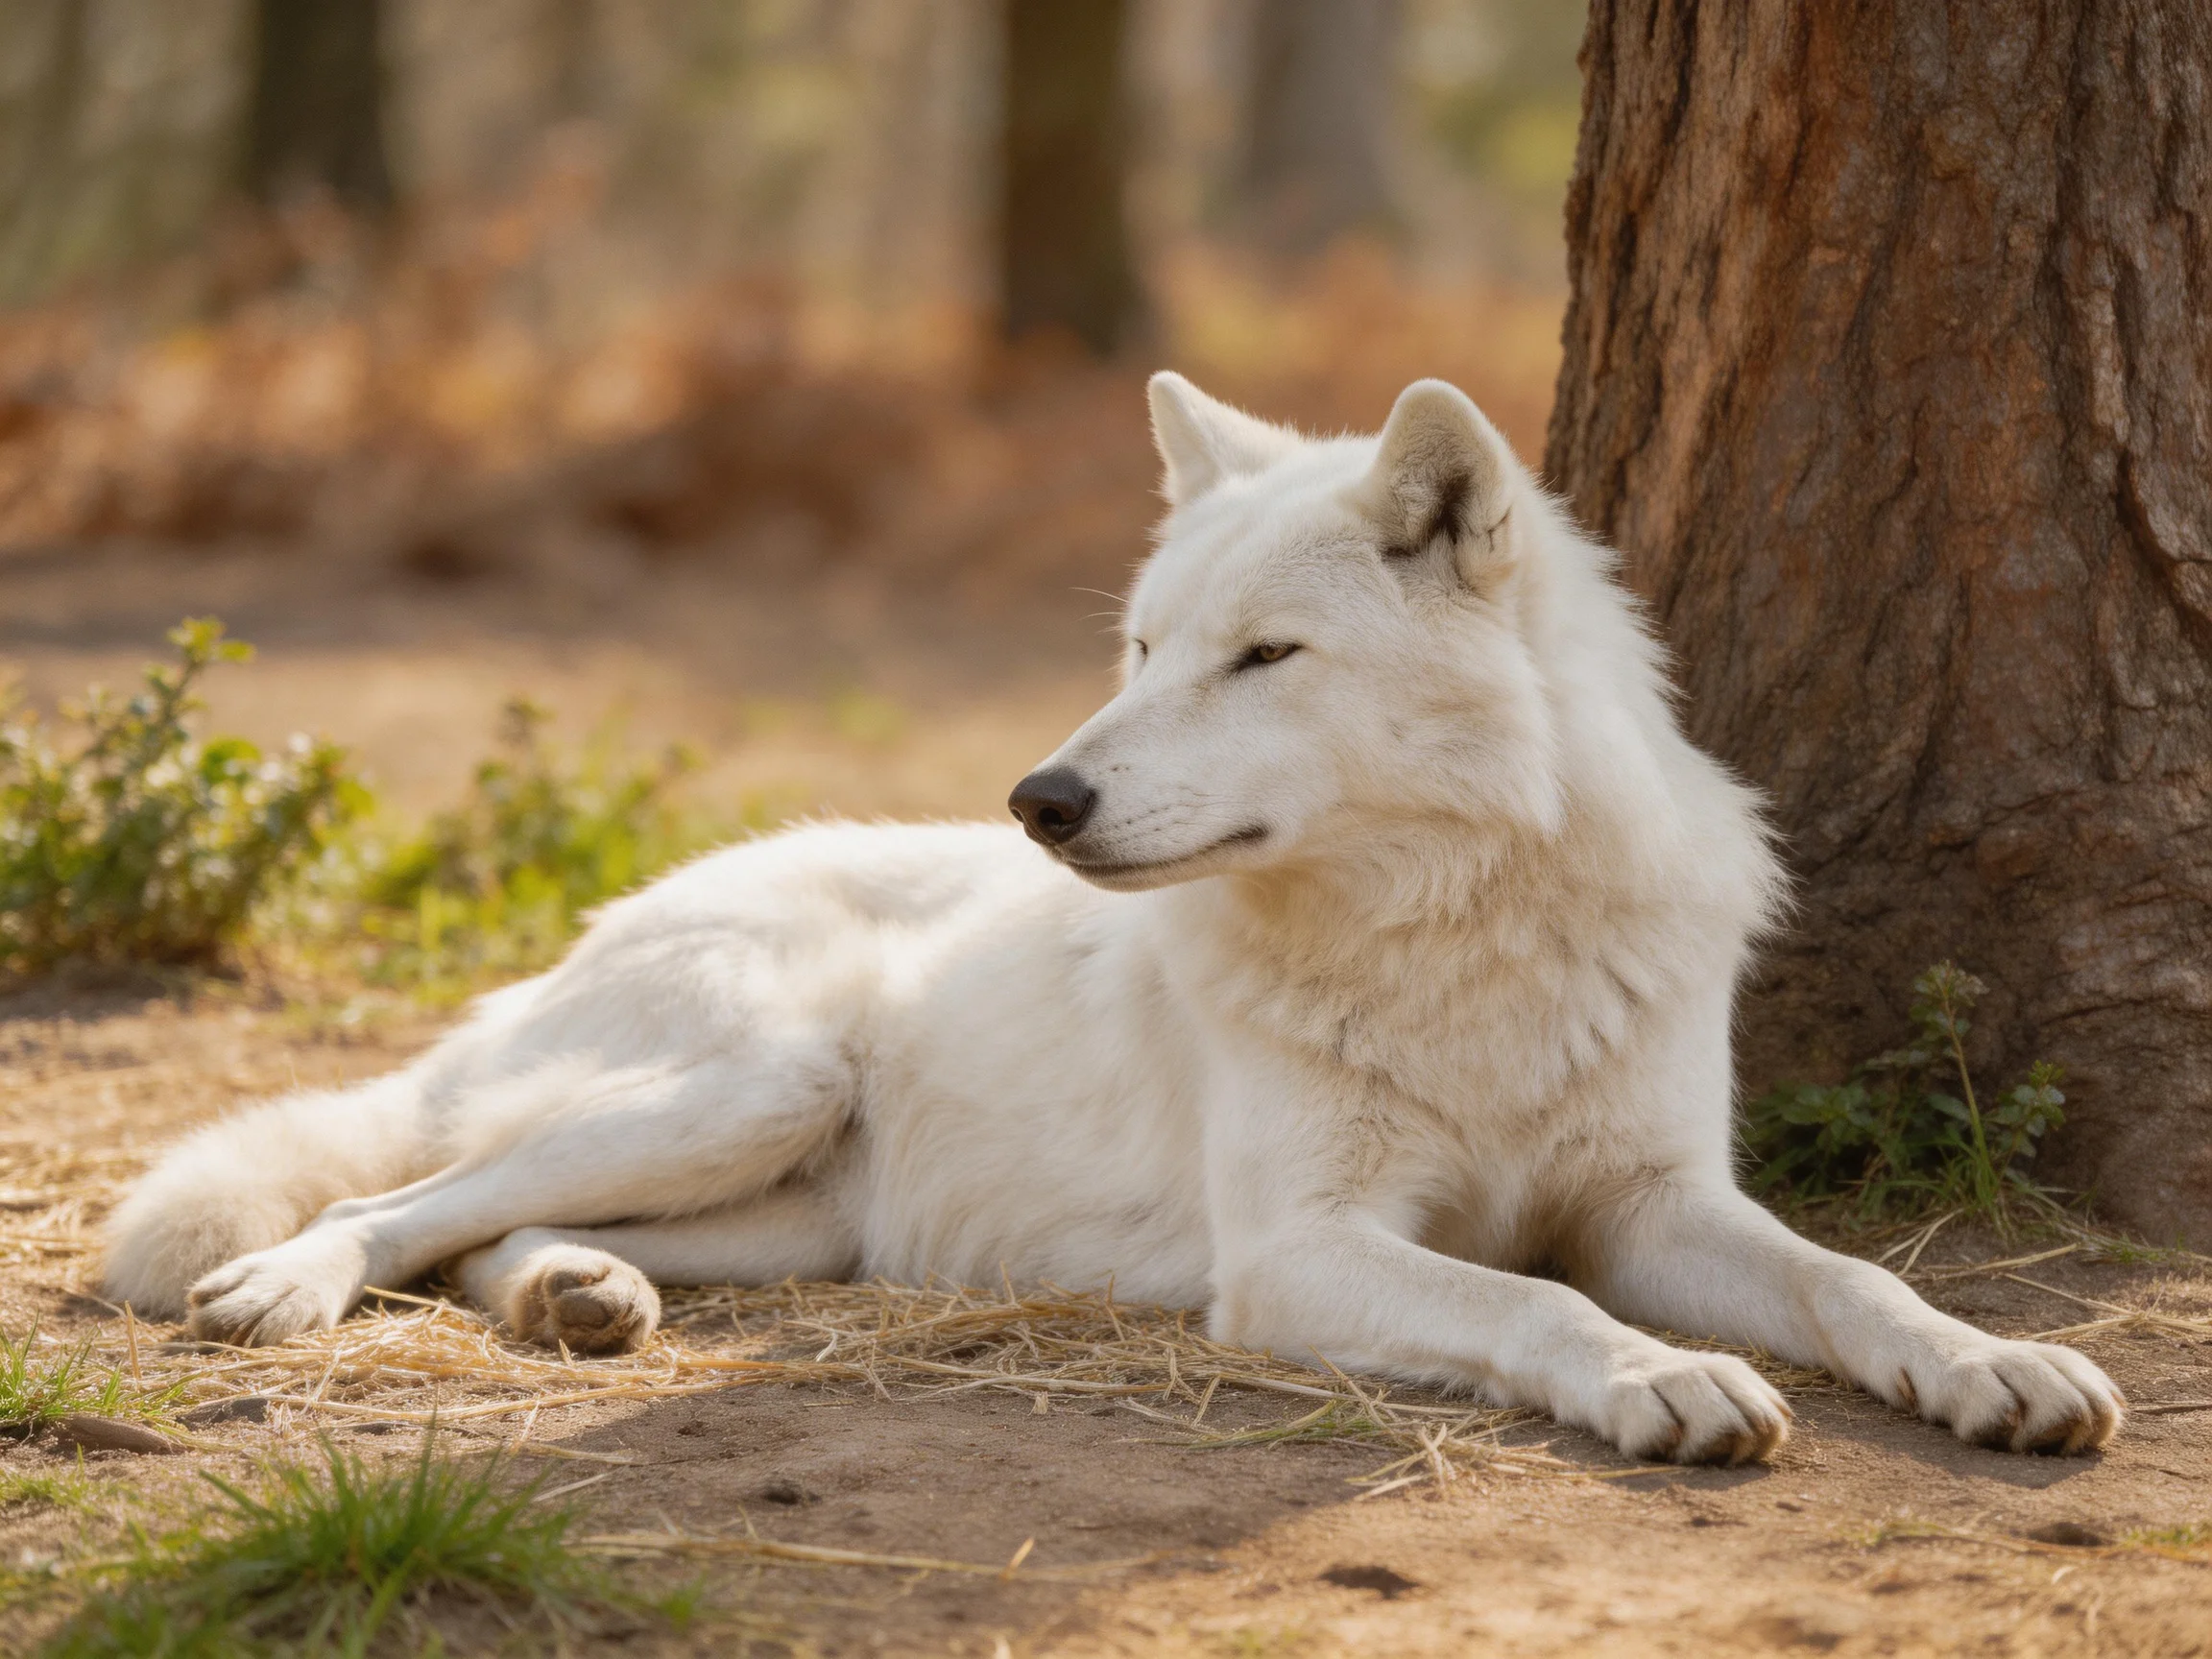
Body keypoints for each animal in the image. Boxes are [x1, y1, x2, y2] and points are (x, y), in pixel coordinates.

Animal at [103, 375, 2121, 1464]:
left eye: (1261, 657)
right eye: (1142, 647)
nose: (1038, 800)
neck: (1450, 933)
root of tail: (613, 910)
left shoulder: (1654, 1196)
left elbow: (1851, 1278)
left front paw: (1990, 1364)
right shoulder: (1299, 1251)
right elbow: (1533, 1296)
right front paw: (1667, 1378)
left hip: (793, 1211)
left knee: (488, 1235)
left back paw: (583, 1299)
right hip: (748, 1085)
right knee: (398, 1197)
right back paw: (288, 1285)